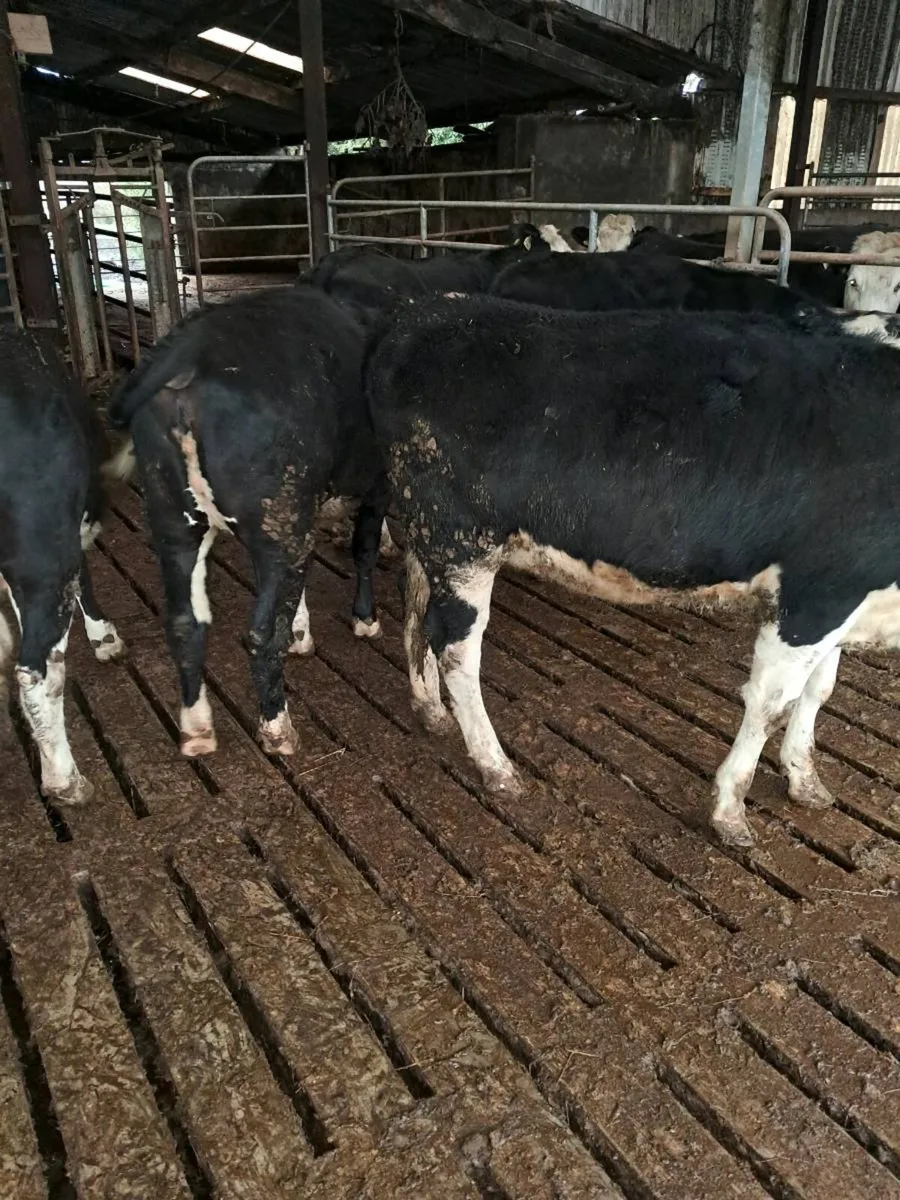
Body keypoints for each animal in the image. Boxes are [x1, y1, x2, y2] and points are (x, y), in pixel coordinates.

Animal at [108, 286, 389, 759]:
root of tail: (191, 347)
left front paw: (302, 632)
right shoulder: (376, 486)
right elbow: (365, 547)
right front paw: (364, 619)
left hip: (175, 520)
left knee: (183, 622)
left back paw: (197, 729)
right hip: (277, 518)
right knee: (260, 633)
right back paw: (278, 728)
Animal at [366, 296, 900, 849]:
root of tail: (422, 313)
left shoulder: (848, 601)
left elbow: (820, 692)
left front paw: (804, 779)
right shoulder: (817, 594)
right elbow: (773, 704)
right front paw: (730, 810)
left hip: (429, 534)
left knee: (415, 610)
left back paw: (429, 708)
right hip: (463, 542)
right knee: (456, 650)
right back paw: (496, 766)